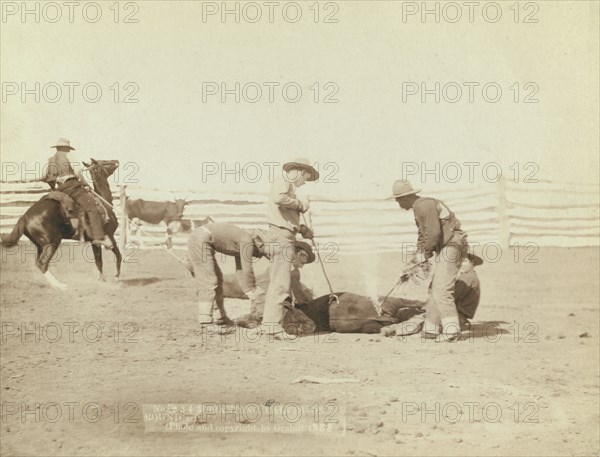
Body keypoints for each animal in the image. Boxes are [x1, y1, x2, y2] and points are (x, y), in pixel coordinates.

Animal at [0, 159, 123, 288]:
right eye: (104, 161)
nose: (116, 161)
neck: (104, 204)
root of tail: (24, 217)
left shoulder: (95, 242)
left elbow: (99, 262)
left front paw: (102, 280)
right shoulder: (110, 236)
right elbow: (118, 255)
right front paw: (116, 277)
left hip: (41, 245)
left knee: (38, 262)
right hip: (53, 242)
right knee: (42, 263)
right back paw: (60, 285)